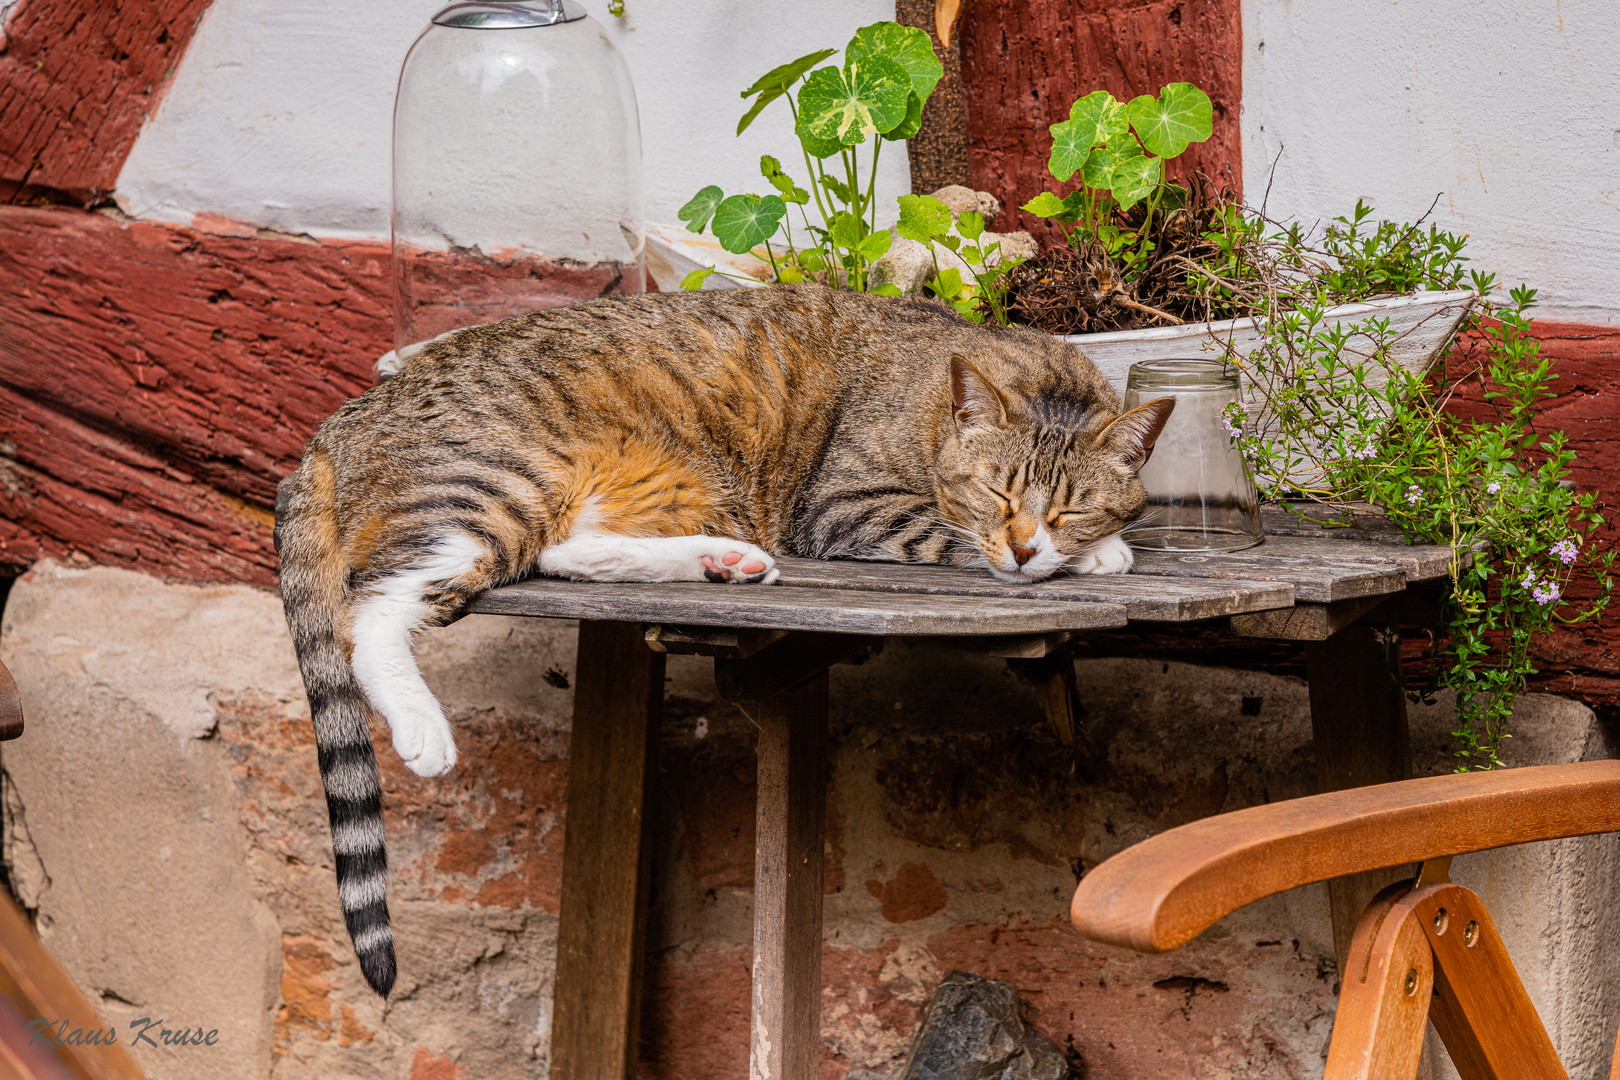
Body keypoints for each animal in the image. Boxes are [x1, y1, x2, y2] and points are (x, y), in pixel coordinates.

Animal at [272, 283, 1172, 990]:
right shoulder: (847, 508)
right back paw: (423, 726)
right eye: (995, 494)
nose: (1025, 547)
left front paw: (1092, 546)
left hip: (621, 489)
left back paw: (720, 561)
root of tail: (343, 418)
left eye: (1073, 505)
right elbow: (942, 534)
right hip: (493, 483)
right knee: (371, 615)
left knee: (563, 551)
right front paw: (1098, 557)